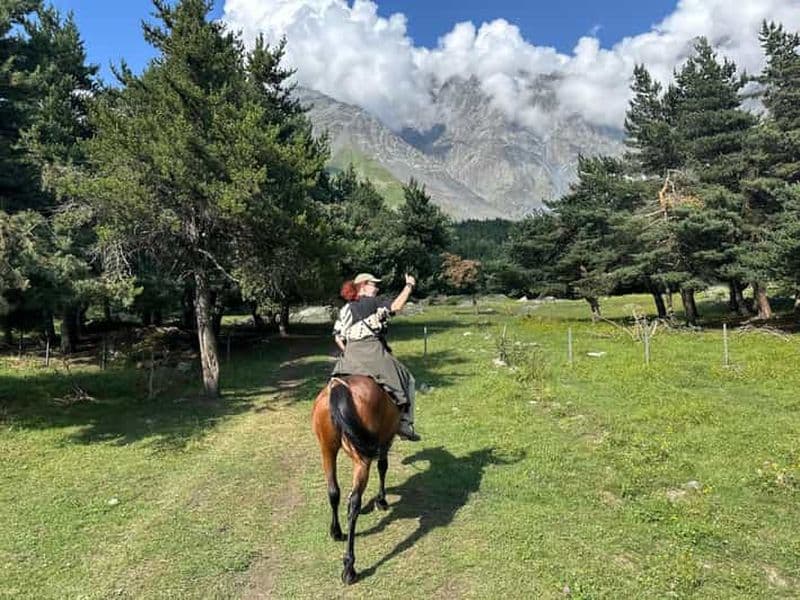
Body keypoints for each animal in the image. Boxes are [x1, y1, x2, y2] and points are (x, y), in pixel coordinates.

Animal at [311, 374, 402, 584]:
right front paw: (381, 500)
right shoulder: (386, 440)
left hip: (327, 449)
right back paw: (349, 567)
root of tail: (338, 386)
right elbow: (383, 467)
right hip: (361, 459)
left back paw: (336, 532)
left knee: (333, 491)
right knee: (353, 504)